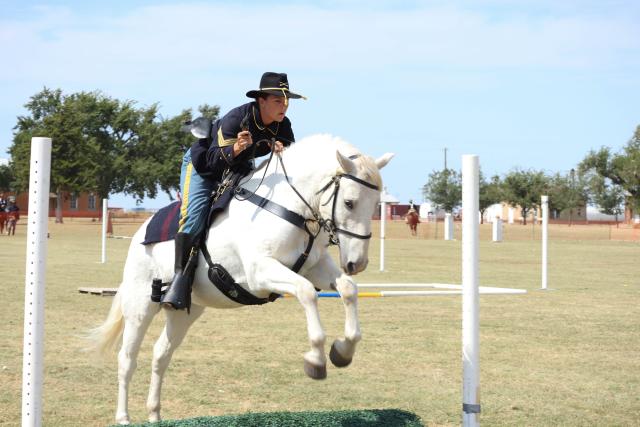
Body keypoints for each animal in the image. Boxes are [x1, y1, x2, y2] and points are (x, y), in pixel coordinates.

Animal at [87, 134, 392, 424]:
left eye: (376, 206)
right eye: (350, 203)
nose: (357, 263)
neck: (289, 207)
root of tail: (140, 234)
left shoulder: (315, 267)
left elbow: (348, 289)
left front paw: (343, 350)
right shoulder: (261, 272)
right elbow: (306, 292)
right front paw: (316, 359)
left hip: (185, 311)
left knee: (161, 354)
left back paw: (154, 414)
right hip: (141, 305)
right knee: (127, 358)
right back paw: (124, 417)